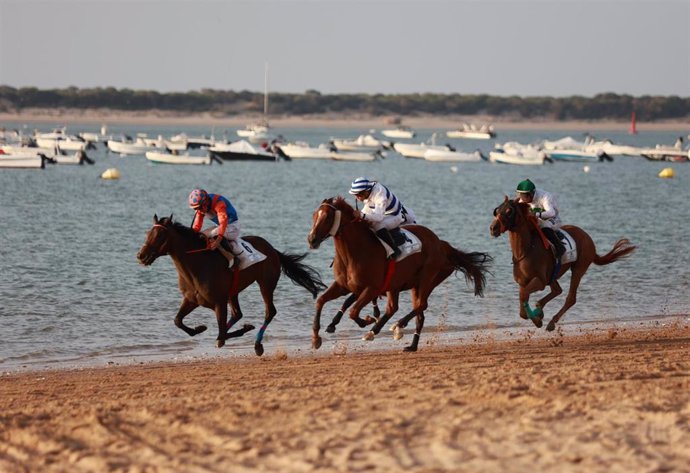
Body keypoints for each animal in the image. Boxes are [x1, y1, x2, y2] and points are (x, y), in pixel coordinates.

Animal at [138, 214, 326, 354]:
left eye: (160, 235)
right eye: (147, 233)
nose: (141, 255)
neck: (197, 265)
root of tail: (272, 249)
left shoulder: (219, 303)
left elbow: (220, 334)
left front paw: (244, 329)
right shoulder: (191, 299)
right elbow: (178, 320)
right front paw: (200, 328)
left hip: (265, 283)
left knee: (269, 311)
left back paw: (257, 344)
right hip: (234, 291)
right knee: (237, 314)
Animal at [306, 195, 490, 350]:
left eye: (327, 217)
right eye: (314, 215)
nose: (312, 239)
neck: (355, 252)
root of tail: (442, 244)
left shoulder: (371, 288)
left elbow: (353, 312)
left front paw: (366, 321)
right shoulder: (343, 286)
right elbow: (320, 301)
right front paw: (316, 338)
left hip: (427, 279)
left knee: (420, 305)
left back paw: (396, 326)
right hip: (404, 285)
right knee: (404, 310)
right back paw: (408, 344)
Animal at [490, 197, 636, 330]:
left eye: (509, 211)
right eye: (497, 210)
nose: (493, 228)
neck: (526, 250)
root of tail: (587, 237)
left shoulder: (540, 281)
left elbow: (524, 296)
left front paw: (537, 320)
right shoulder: (523, 282)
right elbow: (522, 303)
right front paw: (536, 316)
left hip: (578, 268)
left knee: (571, 298)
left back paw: (551, 322)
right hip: (553, 274)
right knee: (557, 290)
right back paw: (540, 309)